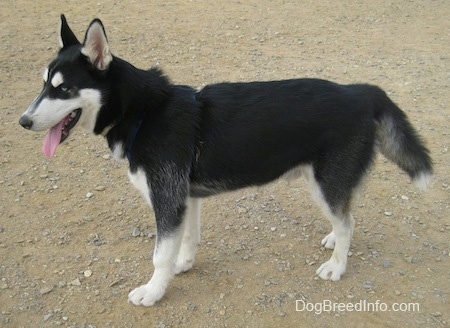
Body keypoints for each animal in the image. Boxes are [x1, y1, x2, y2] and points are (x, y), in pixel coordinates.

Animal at [18, 15, 432, 306]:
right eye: (43, 83)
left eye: (64, 89)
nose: (23, 121)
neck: (145, 114)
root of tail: (361, 92)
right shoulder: (186, 199)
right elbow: (187, 241)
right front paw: (183, 266)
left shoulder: (167, 200)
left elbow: (159, 256)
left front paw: (153, 292)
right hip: (326, 183)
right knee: (345, 214)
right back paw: (333, 238)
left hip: (324, 183)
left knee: (348, 222)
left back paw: (337, 265)